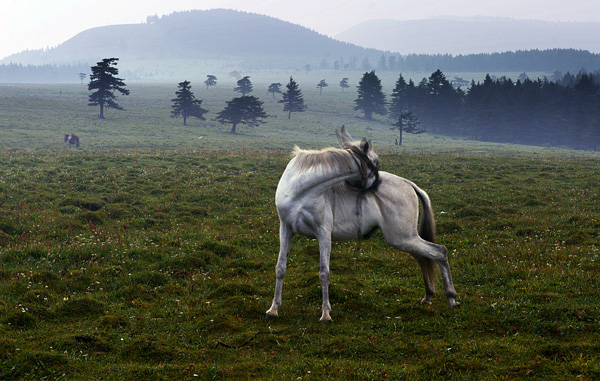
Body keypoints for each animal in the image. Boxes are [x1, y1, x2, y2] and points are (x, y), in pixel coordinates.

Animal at [268, 127, 460, 320]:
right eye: (376, 163)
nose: (377, 184)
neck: (300, 191)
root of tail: (409, 184)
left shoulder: (323, 233)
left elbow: (324, 273)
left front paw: (325, 313)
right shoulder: (286, 229)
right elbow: (280, 268)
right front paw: (274, 309)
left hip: (404, 238)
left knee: (439, 252)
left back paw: (451, 298)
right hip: (405, 239)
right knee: (424, 257)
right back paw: (429, 296)